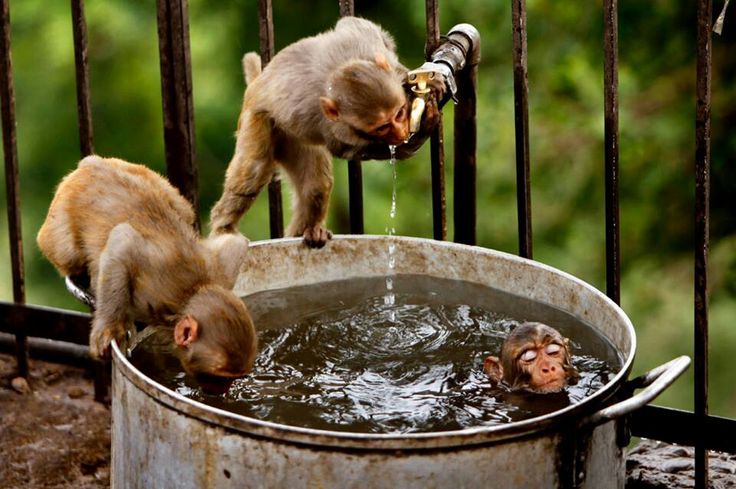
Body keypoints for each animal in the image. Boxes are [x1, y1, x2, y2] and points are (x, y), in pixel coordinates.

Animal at [37, 154, 258, 380]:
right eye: (219, 377)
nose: (223, 389)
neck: (189, 294)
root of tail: (93, 163)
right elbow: (123, 240)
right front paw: (108, 328)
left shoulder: (221, 272)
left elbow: (236, 242)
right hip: (61, 218)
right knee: (69, 253)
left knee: (183, 209)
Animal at [210, 16, 446, 248]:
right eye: (382, 127)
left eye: (399, 113)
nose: (400, 132)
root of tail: (256, 84)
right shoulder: (336, 130)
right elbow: (350, 149)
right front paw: (420, 131)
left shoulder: (365, 41)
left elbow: (355, 24)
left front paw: (415, 80)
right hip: (258, 119)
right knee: (254, 170)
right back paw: (224, 229)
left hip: (291, 139)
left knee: (316, 186)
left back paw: (308, 231)